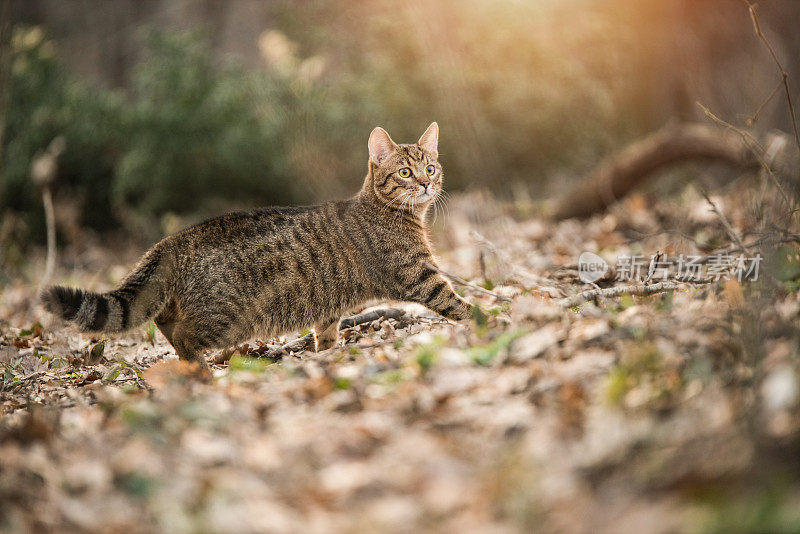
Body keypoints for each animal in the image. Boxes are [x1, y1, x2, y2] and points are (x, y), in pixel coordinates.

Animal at [40, 124, 472, 368]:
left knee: (164, 322)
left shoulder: (331, 307)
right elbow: (456, 302)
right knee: (183, 336)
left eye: (430, 167)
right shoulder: (418, 275)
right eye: (405, 173)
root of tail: (172, 240)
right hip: (224, 319)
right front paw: (486, 319)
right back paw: (200, 370)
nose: (426, 183)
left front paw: (327, 355)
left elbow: (326, 331)